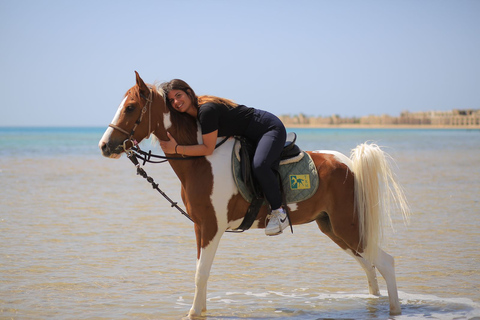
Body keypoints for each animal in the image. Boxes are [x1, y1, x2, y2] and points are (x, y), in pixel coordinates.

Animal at [97, 72, 408, 318]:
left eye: (131, 107)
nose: (104, 146)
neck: (201, 161)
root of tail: (350, 165)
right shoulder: (200, 227)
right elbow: (200, 273)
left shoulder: (213, 227)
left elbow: (201, 274)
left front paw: (193, 313)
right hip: (333, 228)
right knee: (369, 265)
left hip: (348, 226)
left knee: (386, 262)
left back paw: (394, 310)